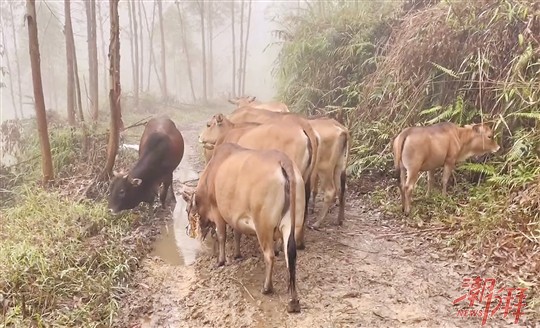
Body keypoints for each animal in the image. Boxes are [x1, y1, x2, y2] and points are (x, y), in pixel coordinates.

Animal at [180, 143, 304, 312]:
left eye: (187, 210)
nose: (187, 230)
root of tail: (283, 160)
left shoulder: (218, 212)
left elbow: (221, 236)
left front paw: (220, 261)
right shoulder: (236, 216)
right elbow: (237, 233)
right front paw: (237, 254)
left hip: (263, 226)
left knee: (269, 256)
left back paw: (267, 288)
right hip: (292, 225)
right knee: (290, 255)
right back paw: (293, 300)